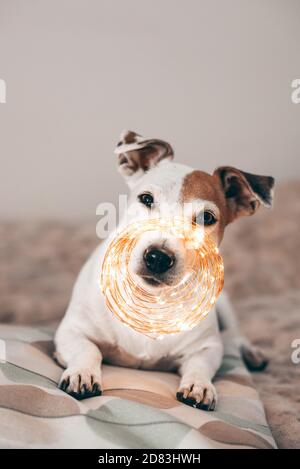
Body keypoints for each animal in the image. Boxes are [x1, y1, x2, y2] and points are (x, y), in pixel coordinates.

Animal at [54, 130, 274, 408]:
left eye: (207, 218)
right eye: (146, 199)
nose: (158, 257)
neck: (152, 300)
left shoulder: (208, 348)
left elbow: (201, 364)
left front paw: (200, 386)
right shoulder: (71, 331)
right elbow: (88, 349)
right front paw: (82, 373)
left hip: (224, 303)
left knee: (236, 335)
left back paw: (252, 352)